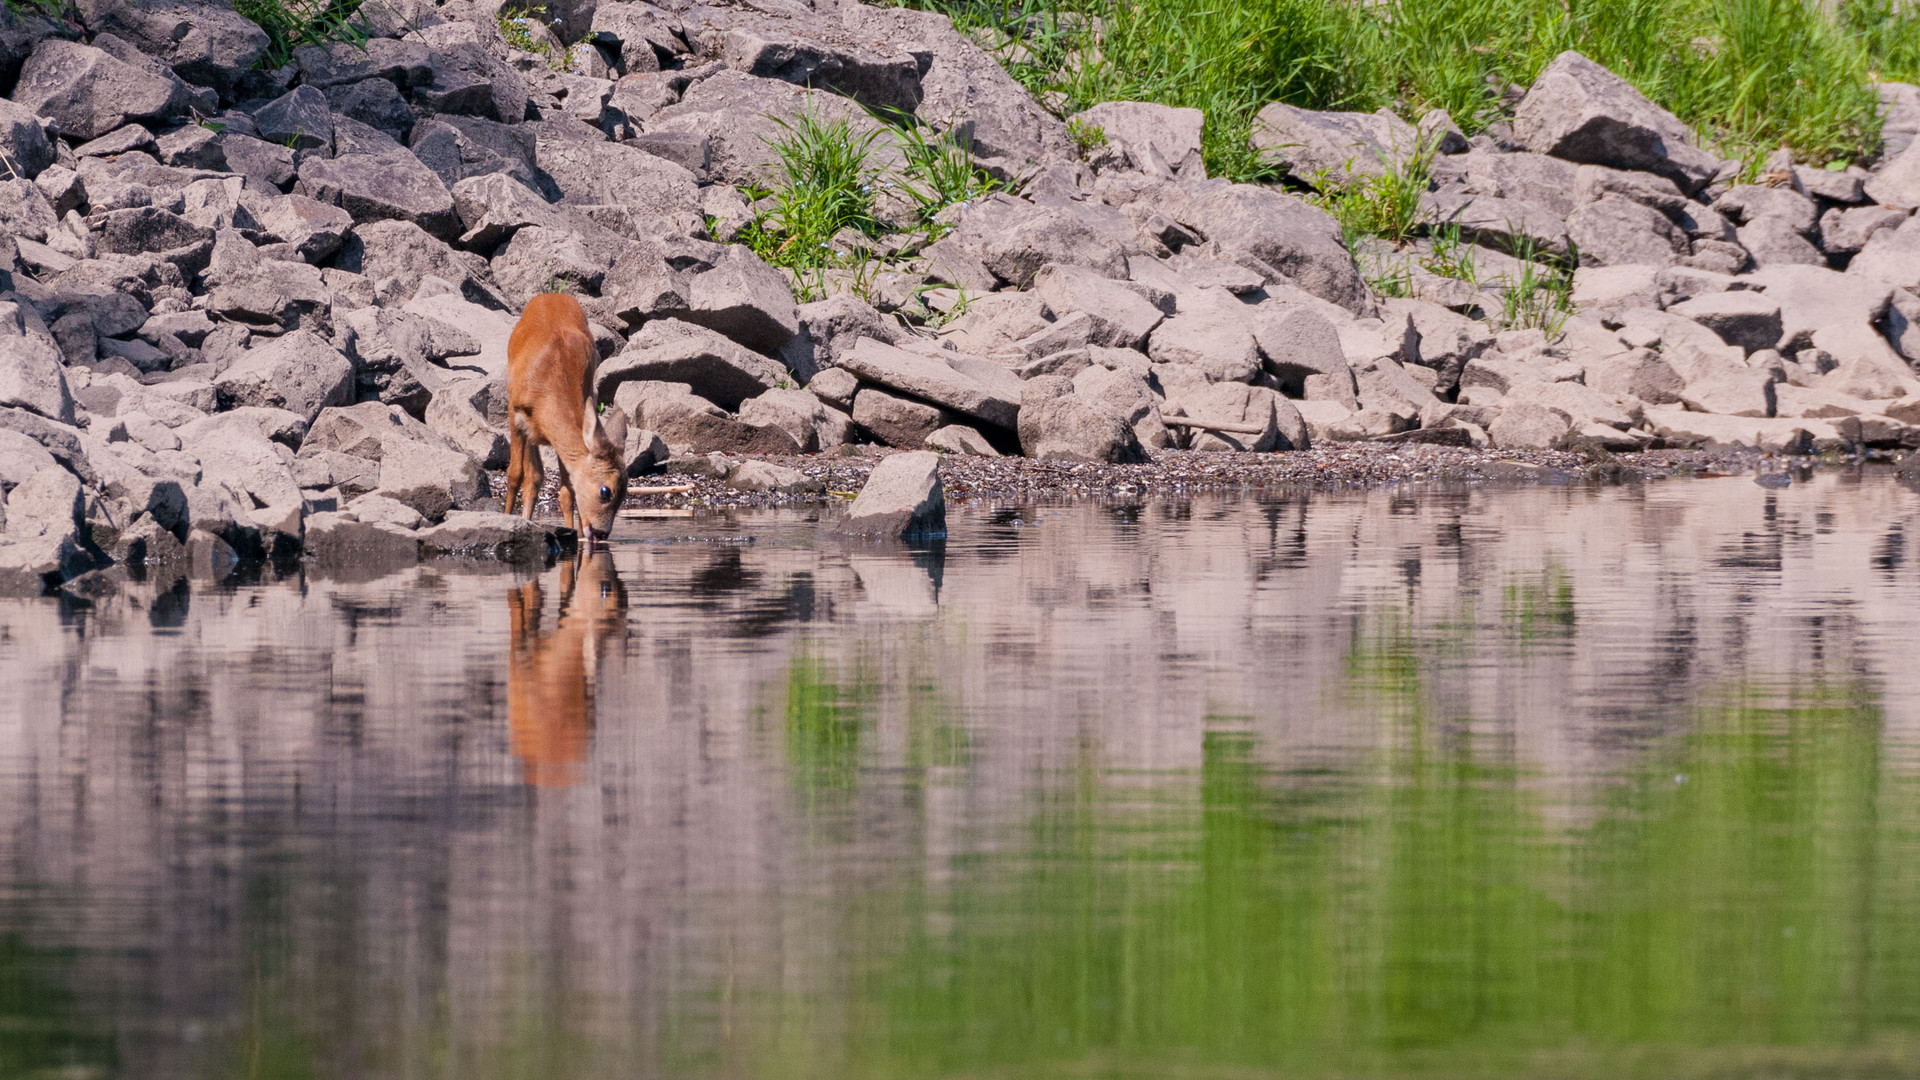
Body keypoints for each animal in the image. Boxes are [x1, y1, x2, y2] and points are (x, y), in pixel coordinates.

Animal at [503, 290, 629, 541]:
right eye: (605, 491)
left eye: (626, 492)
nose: (601, 533)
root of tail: (553, 294)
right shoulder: (515, 412)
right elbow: (514, 475)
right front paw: (506, 520)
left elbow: (567, 490)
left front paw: (574, 533)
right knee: (530, 474)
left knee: (537, 476)